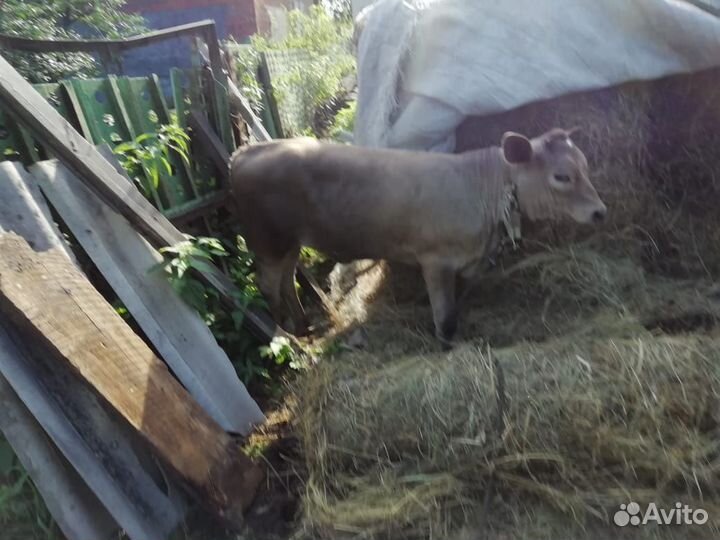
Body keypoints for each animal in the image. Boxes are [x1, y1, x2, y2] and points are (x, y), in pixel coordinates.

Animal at [229, 128, 606, 346]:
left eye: (585, 166)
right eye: (562, 176)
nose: (600, 212)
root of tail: (246, 151)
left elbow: (456, 303)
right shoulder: (435, 260)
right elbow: (445, 313)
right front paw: (447, 343)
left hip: (289, 242)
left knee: (287, 280)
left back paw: (303, 325)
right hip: (268, 241)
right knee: (268, 284)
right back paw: (286, 332)